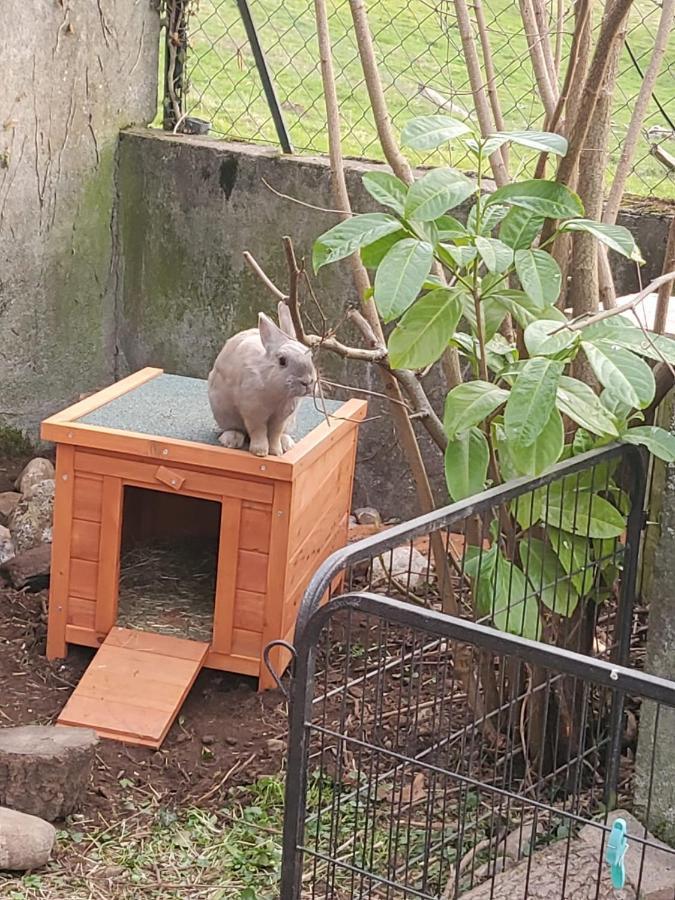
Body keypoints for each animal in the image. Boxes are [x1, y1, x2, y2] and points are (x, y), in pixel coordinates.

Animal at [209, 302, 316, 458]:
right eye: (282, 361)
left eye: (310, 356)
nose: (307, 382)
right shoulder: (253, 411)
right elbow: (258, 431)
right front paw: (260, 452)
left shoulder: (281, 417)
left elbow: (275, 433)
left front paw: (276, 452)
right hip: (223, 412)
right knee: (235, 429)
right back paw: (232, 439)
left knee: (283, 433)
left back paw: (287, 444)